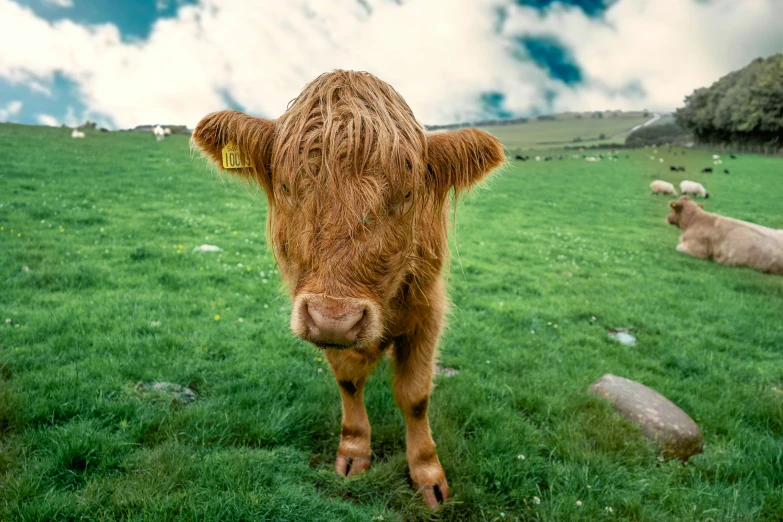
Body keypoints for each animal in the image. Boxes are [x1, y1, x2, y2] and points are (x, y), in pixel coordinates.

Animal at [193, 69, 506, 508]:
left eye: (406, 194)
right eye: (286, 188)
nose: (336, 319)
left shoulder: (428, 310)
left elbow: (414, 395)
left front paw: (427, 473)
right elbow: (348, 381)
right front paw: (354, 450)